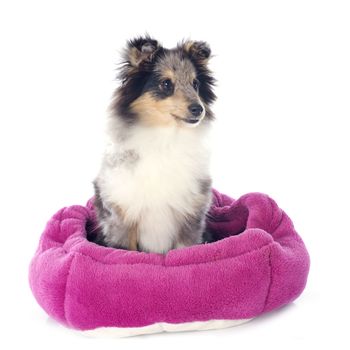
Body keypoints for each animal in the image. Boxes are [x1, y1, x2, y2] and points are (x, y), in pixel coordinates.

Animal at [92, 36, 216, 254]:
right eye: (166, 84)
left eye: (195, 83)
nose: (198, 109)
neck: (165, 139)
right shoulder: (122, 217)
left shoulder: (190, 217)